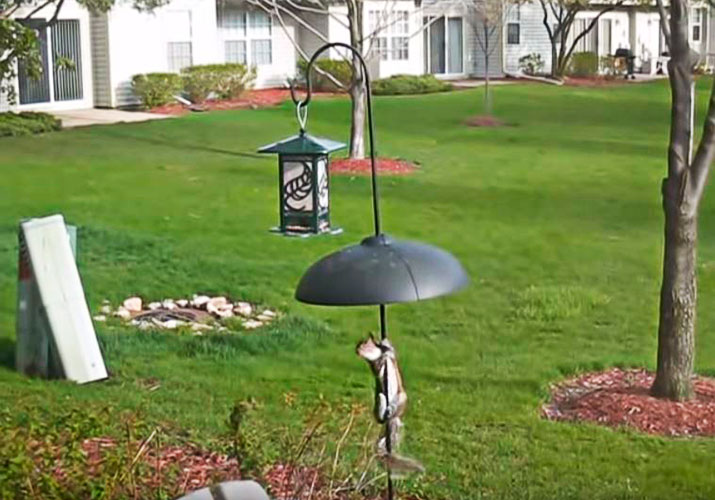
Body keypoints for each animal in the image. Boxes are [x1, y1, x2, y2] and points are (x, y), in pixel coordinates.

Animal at [356, 335, 425, 477]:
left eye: (365, 343)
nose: (357, 350)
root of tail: (392, 420)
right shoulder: (374, 366)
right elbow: (378, 368)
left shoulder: (390, 357)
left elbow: (390, 352)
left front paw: (385, 344)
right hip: (380, 397)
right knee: (381, 412)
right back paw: (385, 414)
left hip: (401, 397)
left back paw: (390, 411)